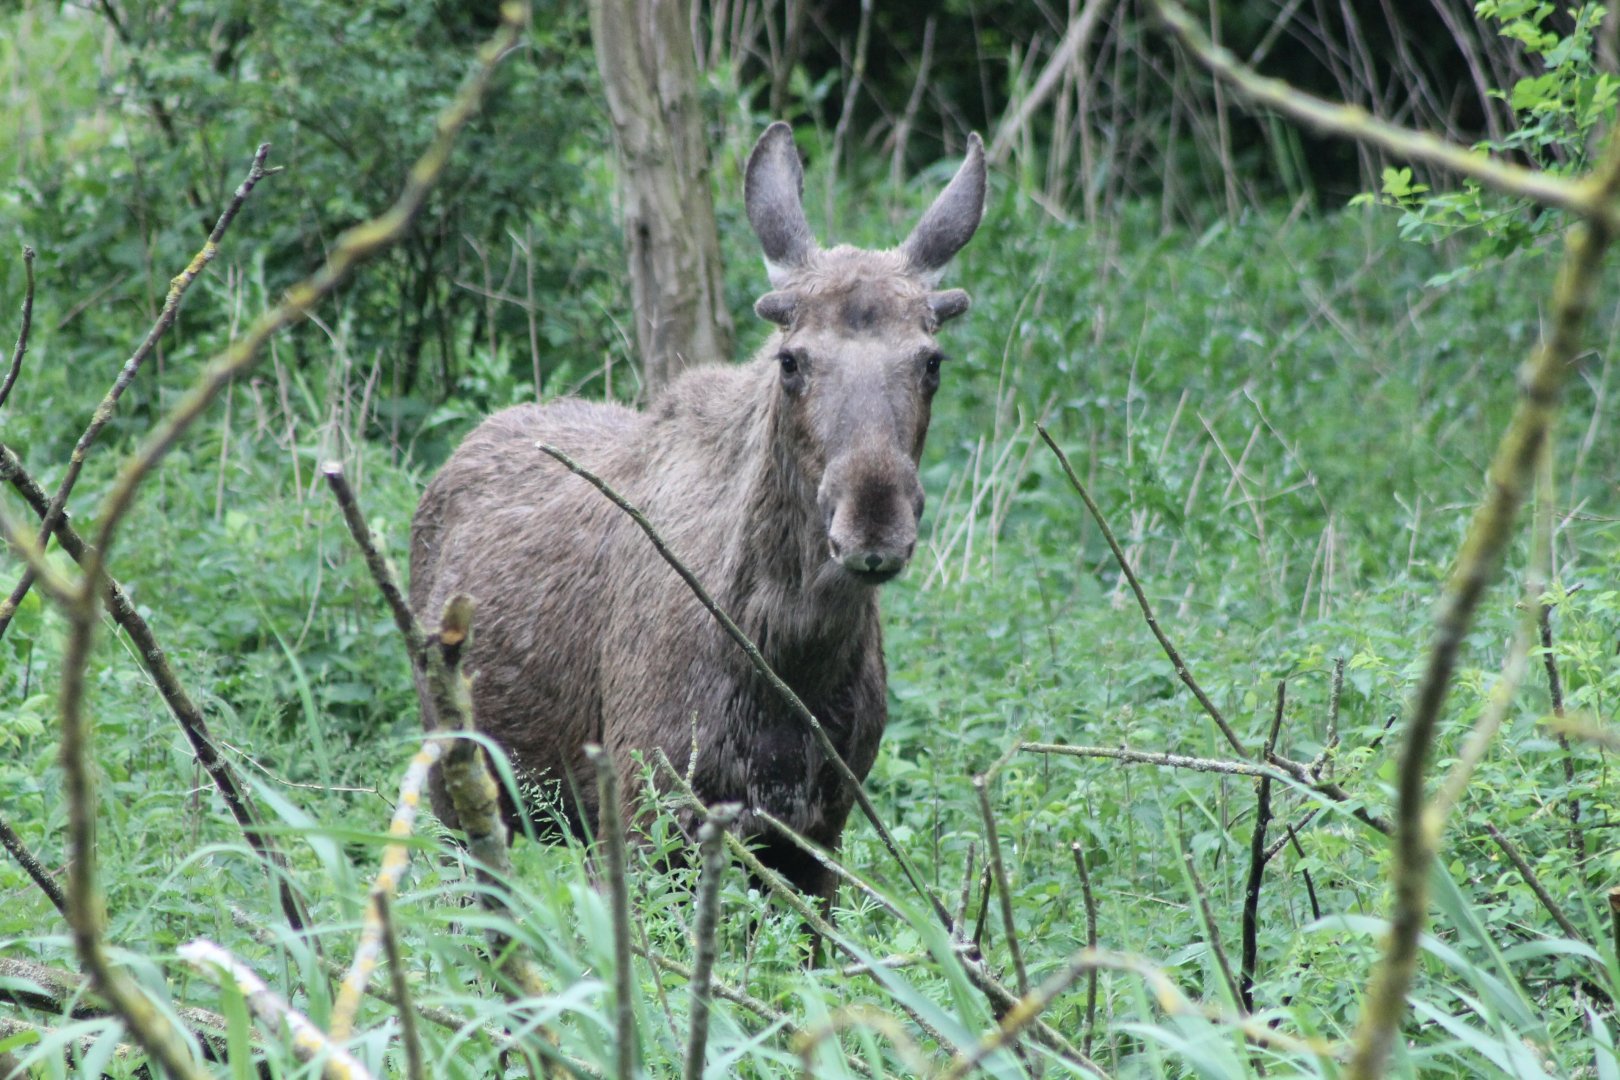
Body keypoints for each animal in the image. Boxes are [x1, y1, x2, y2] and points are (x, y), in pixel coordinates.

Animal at [408, 122, 986, 908]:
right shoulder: (643, 810)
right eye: (791, 361)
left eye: (931, 361)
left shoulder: (819, 835)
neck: (790, 656)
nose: (874, 526)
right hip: (458, 788)